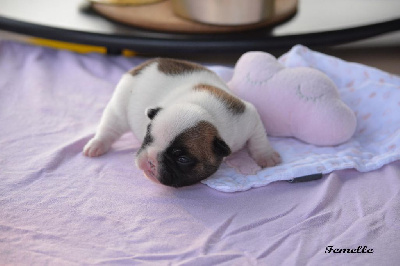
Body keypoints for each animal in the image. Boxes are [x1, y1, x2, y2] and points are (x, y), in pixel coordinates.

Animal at [83, 58, 282, 187]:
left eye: (182, 159)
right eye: (148, 137)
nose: (150, 160)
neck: (204, 111)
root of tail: (143, 65)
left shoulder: (248, 118)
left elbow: (259, 138)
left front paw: (266, 155)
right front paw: (267, 156)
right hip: (120, 106)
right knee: (110, 126)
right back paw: (97, 144)